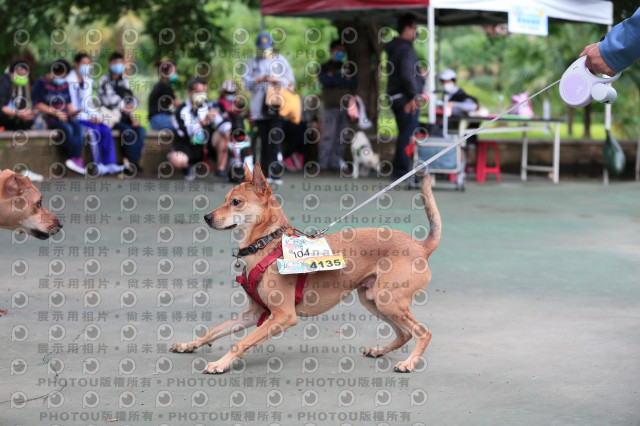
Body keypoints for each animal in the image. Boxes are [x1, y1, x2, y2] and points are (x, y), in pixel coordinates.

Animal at [170, 163, 440, 372]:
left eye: (236, 202)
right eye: (225, 199)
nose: (207, 217)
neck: (267, 244)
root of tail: (421, 246)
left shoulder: (283, 316)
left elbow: (241, 342)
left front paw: (220, 363)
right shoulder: (254, 313)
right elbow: (212, 332)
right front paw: (188, 344)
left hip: (388, 300)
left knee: (423, 332)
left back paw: (409, 363)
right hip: (374, 300)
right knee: (405, 333)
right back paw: (381, 351)